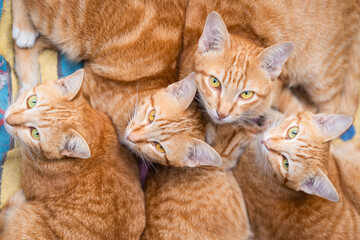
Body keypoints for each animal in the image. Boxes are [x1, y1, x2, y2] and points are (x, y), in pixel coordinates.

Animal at [181, 0, 358, 123]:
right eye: (214, 82)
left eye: (246, 94)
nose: (222, 114)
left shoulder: (279, 91)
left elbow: (298, 111)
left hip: (322, 76)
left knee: (332, 105)